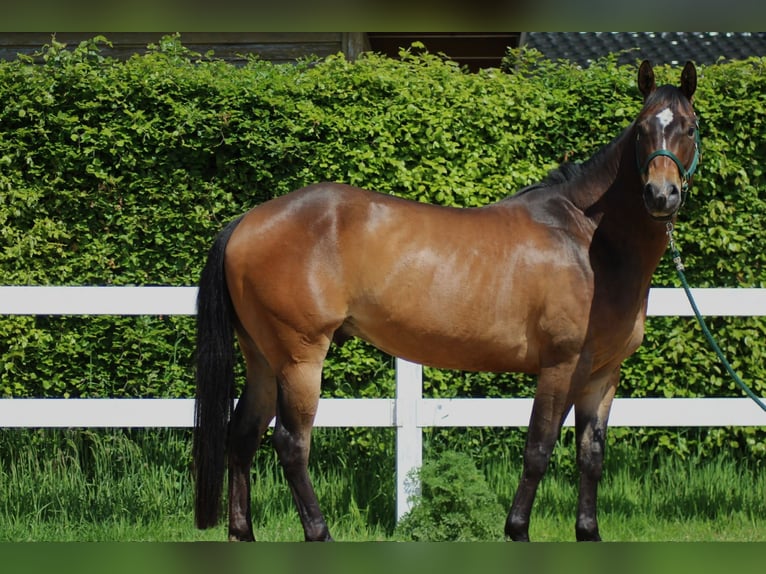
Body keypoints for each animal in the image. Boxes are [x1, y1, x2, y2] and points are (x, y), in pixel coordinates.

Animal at [193, 60, 700, 542]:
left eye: (690, 127)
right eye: (642, 128)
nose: (661, 195)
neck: (586, 238)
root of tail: (245, 221)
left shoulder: (603, 374)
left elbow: (591, 455)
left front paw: (588, 533)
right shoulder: (561, 365)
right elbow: (538, 449)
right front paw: (517, 530)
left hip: (263, 358)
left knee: (242, 436)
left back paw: (243, 533)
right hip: (299, 359)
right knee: (290, 443)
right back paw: (319, 533)